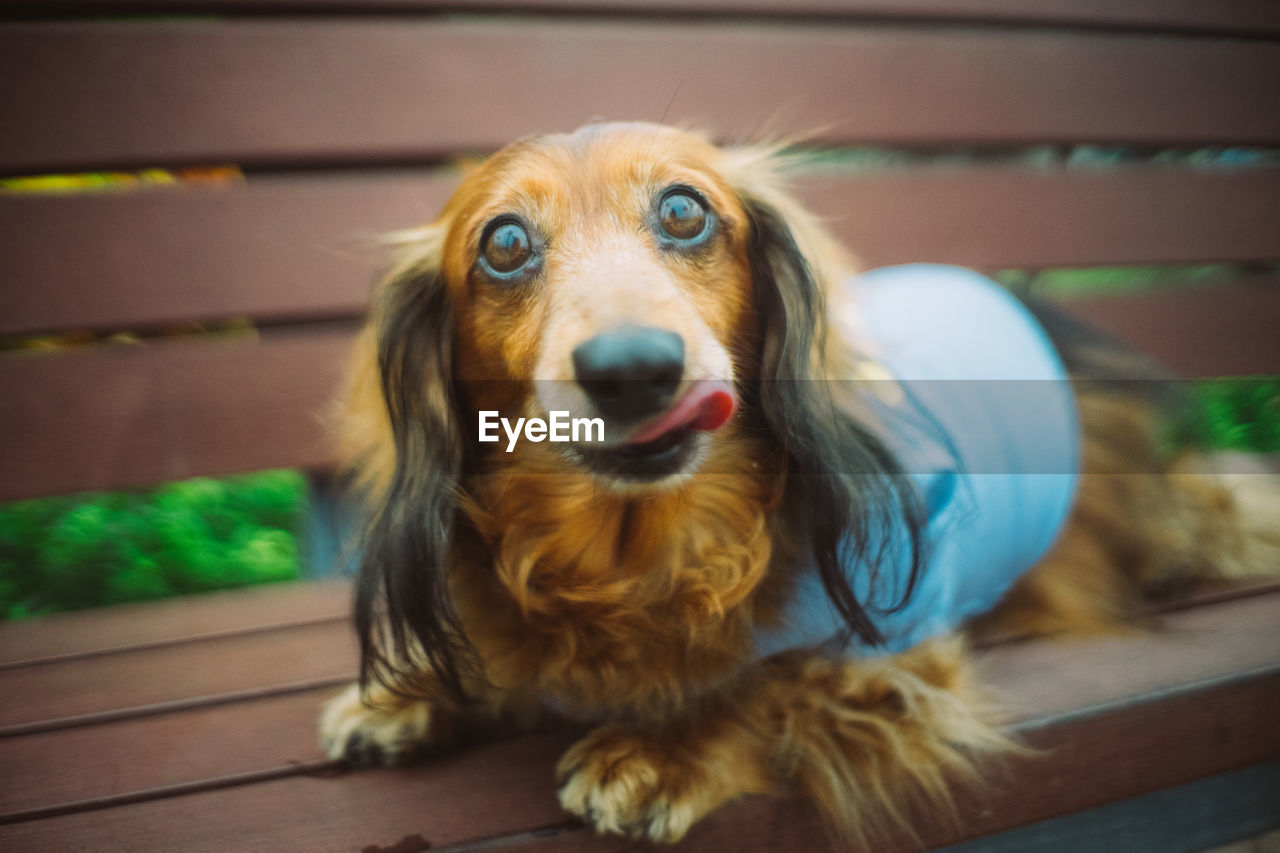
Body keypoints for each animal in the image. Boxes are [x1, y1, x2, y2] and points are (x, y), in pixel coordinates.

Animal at [317, 121, 1269, 845]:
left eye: (684, 209)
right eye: (505, 243)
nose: (633, 368)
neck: (640, 558)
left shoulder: (897, 651)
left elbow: (774, 681)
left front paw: (665, 747)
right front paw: (409, 692)